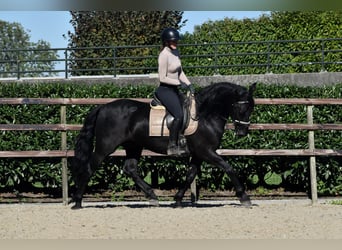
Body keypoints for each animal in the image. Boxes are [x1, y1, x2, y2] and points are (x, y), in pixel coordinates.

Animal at [70, 82, 256, 209]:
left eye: (252, 109)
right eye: (242, 109)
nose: (242, 132)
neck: (204, 115)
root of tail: (102, 107)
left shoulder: (198, 154)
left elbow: (190, 175)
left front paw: (178, 199)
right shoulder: (206, 151)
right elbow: (228, 168)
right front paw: (244, 197)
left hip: (133, 146)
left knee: (130, 169)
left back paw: (152, 196)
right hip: (105, 146)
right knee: (90, 167)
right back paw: (78, 201)